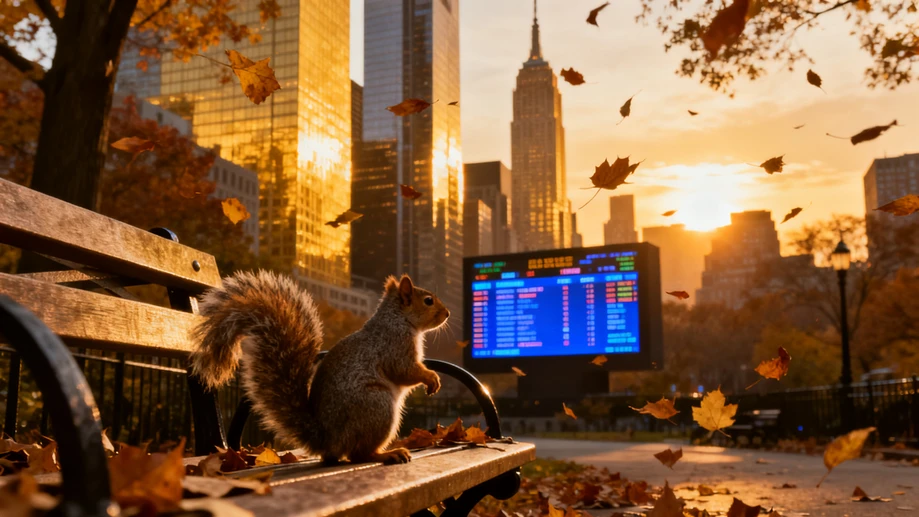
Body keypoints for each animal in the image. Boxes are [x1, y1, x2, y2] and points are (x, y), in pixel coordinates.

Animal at [189, 270, 450, 464]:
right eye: (428, 301)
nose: (447, 313)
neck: (398, 319)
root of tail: (326, 440)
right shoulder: (394, 345)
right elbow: (404, 370)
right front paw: (431, 377)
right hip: (378, 406)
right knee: (358, 455)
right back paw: (387, 454)